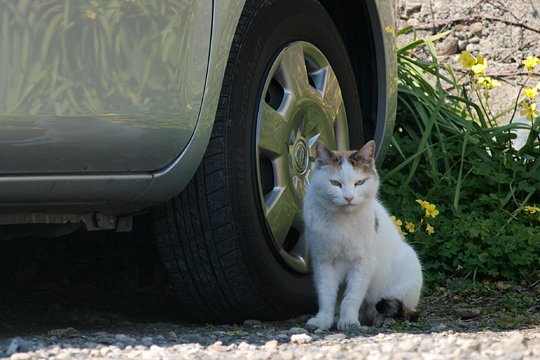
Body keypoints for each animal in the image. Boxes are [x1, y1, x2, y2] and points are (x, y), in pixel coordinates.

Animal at [304, 141, 422, 332]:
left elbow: (352, 296)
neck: (342, 222)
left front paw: (348, 321)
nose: (349, 197)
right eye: (335, 183)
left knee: (399, 310)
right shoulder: (324, 262)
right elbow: (326, 295)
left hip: (407, 267)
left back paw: (384, 320)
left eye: (360, 182)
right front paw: (323, 320)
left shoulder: (363, 263)